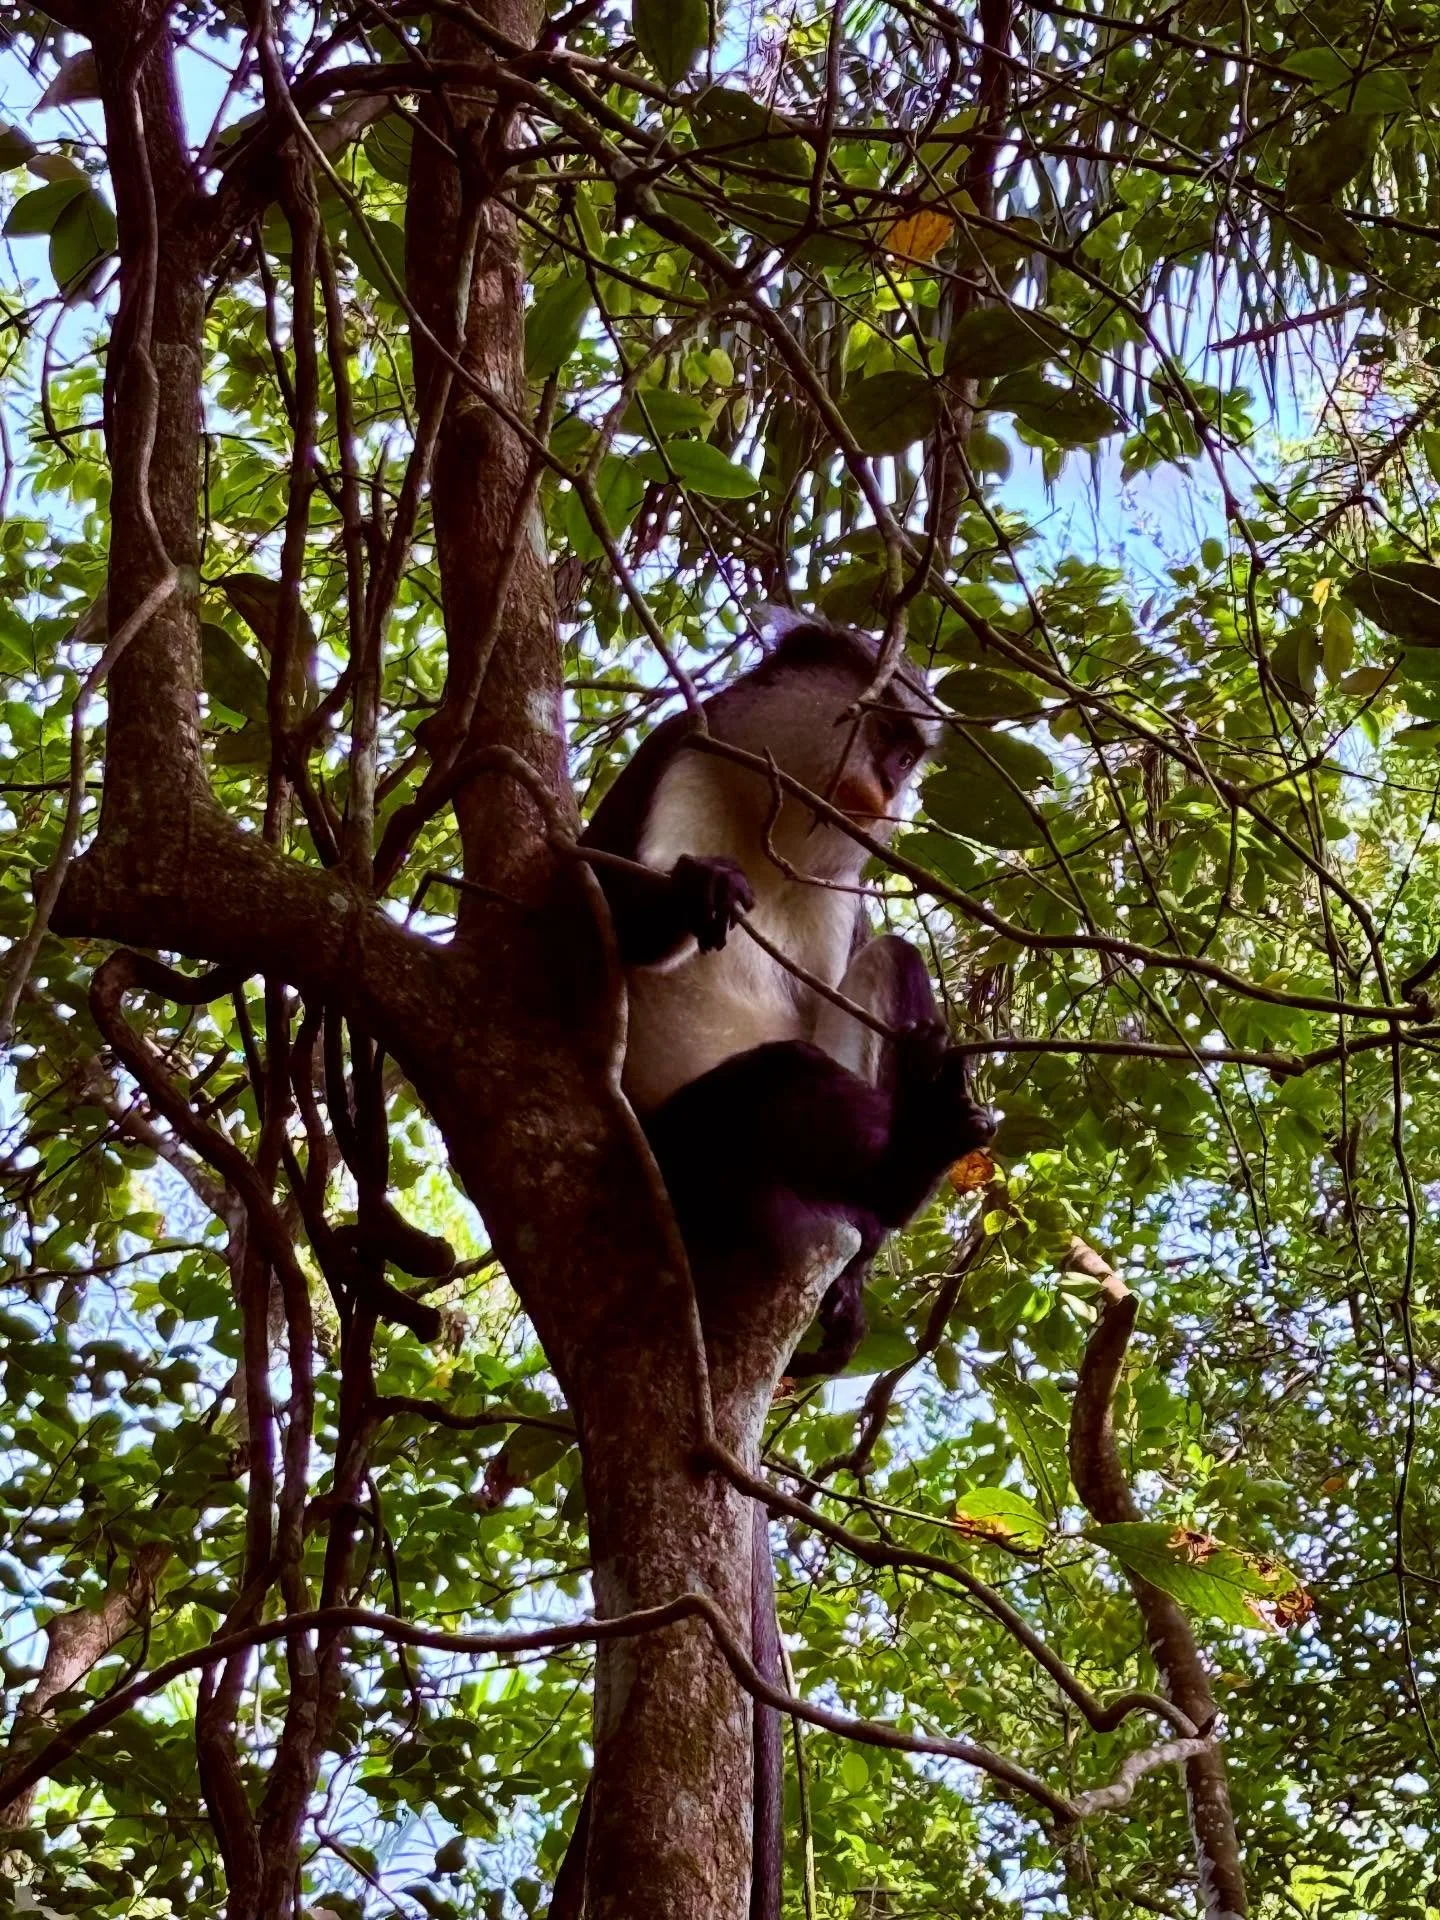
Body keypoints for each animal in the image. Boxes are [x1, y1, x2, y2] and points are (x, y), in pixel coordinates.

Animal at [559, 613, 995, 1920]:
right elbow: (564, 930)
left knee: (883, 973)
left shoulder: (844, 882)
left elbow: (875, 955)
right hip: (684, 1149)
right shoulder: (674, 759)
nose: (892, 789)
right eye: (889, 732)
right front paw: (690, 898)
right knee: (771, 1091)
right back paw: (894, 1164)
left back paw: (888, 1197)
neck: (772, 810)